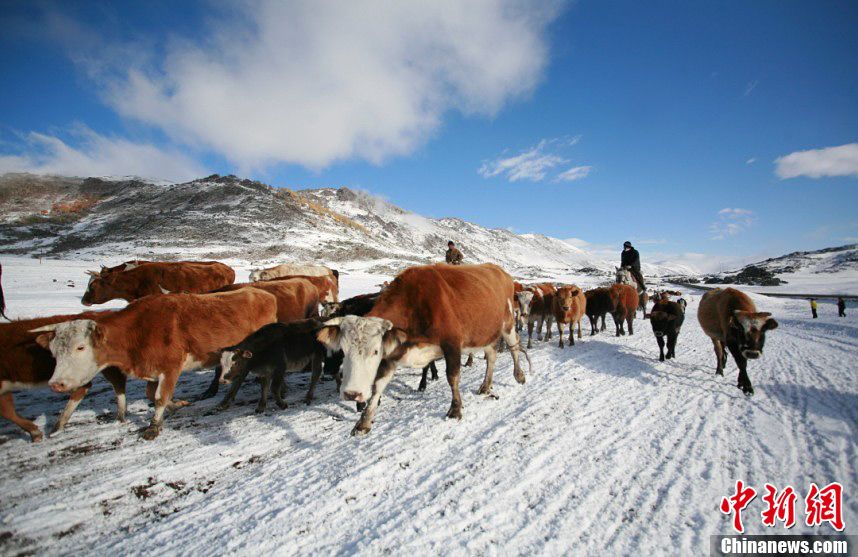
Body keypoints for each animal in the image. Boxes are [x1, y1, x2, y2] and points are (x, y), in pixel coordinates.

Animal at [31, 286, 274, 438]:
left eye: (80, 347)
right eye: (54, 351)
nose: (56, 384)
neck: (138, 330)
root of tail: (262, 293)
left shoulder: (170, 367)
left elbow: (159, 397)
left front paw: (153, 427)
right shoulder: (152, 368)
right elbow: (151, 394)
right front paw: (177, 406)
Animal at [316, 262, 524, 436]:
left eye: (375, 351)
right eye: (343, 350)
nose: (352, 393)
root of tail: (499, 270)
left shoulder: (452, 344)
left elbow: (453, 377)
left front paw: (455, 410)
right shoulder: (392, 353)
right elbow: (377, 386)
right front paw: (363, 422)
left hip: (507, 324)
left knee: (514, 347)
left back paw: (519, 375)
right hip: (486, 333)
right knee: (491, 356)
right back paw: (485, 385)